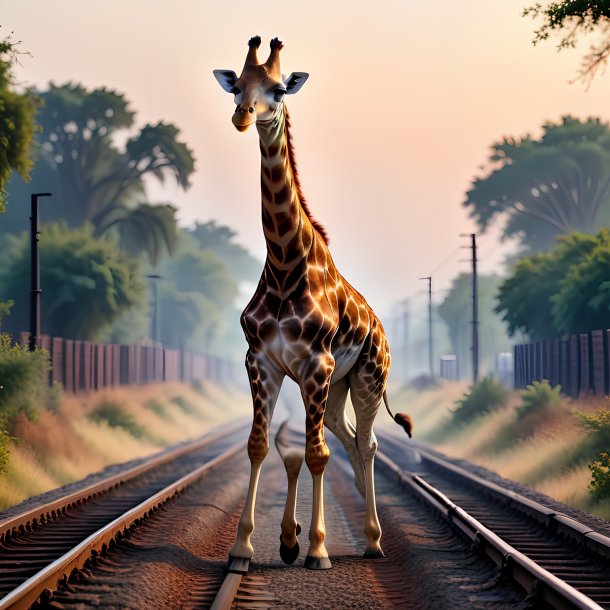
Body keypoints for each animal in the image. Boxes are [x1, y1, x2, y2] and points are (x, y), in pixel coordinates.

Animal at [211, 36, 410, 568]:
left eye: (279, 89)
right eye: (236, 85)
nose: (242, 116)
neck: (284, 264)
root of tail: (383, 329)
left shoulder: (317, 362)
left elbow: (317, 453)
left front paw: (317, 548)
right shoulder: (262, 361)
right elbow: (260, 445)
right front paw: (246, 545)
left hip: (365, 376)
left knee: (365, 442)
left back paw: (373, 539)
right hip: (333, 386)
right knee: (346, 437)